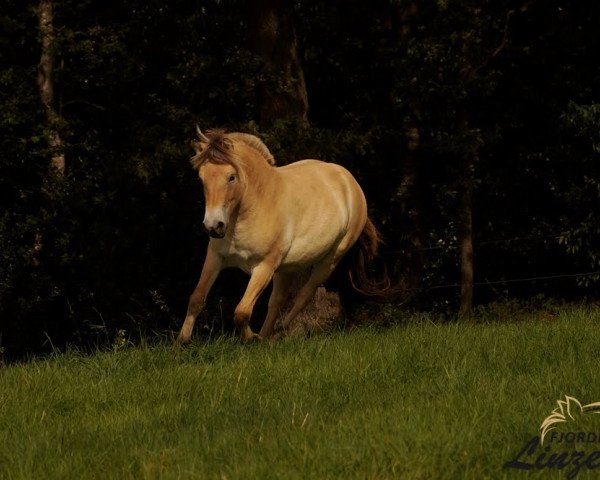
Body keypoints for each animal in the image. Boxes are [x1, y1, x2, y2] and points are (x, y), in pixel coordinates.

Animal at [176, 128, 390, 344]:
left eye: (231, 177)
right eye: (202, 178)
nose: (213, 226)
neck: (256, 205)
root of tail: (349, 181)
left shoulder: (264, 266)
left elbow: (242, 311)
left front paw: (250, 338)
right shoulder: (215, 257)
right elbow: (197, 298)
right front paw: (181, 342)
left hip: (329, 261)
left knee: (304, 295)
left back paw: (276, 332)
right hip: (287, 267)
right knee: (277, 301)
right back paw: (266, 337)